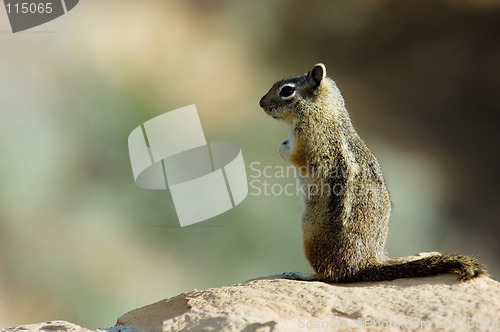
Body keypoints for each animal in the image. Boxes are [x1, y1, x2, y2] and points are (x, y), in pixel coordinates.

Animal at [260, 63, 486, 282]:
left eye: (287, 90)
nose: (261, 103)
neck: (323, 109)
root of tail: (363, 264)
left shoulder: (310, 139)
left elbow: (296, 156)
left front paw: (282, 148)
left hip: (310, 232)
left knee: (330, 274)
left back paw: (301, 274)